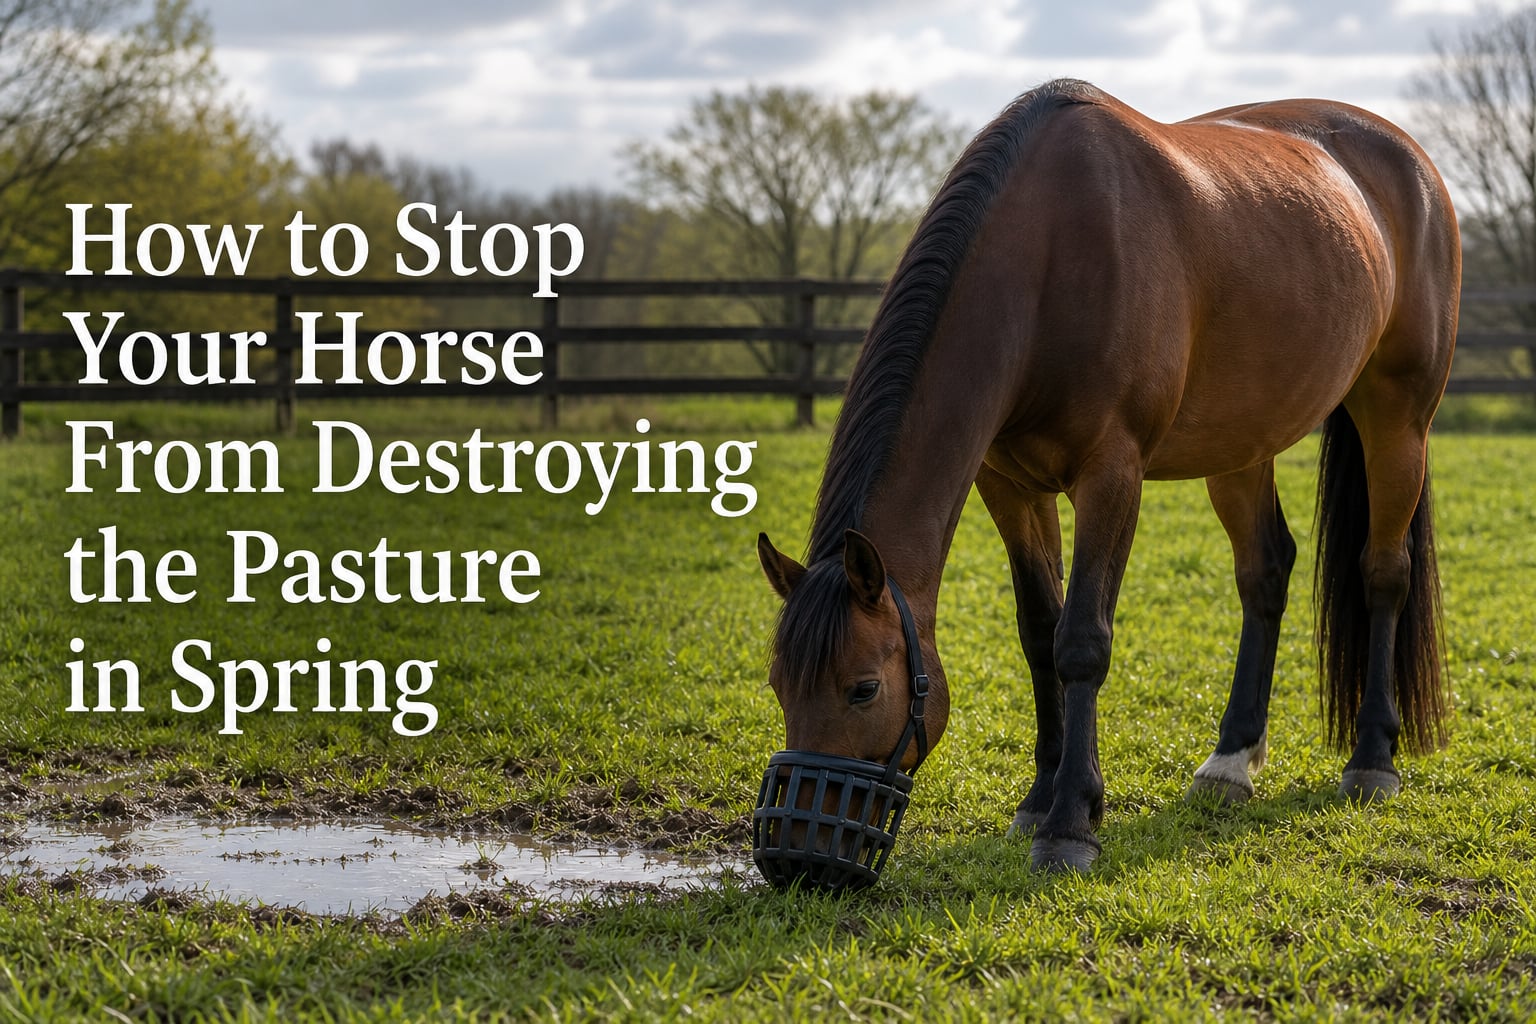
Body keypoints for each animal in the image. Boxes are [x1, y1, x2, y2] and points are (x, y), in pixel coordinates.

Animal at [754, 78, 1457, 881]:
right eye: (778, 684)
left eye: (864, 688)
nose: (796, 854)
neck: (1049, 260)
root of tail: (1411, 161)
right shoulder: (1009, 485)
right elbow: (1039, 633)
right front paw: (1039, 798)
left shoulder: (1112, 475)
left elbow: (1082, 641)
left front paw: (1070, 824)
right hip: (1241, 445)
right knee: (1265, 572)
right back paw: (1231, 760)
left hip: (1397, 419)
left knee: (1384, 571)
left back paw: (1372, 759)